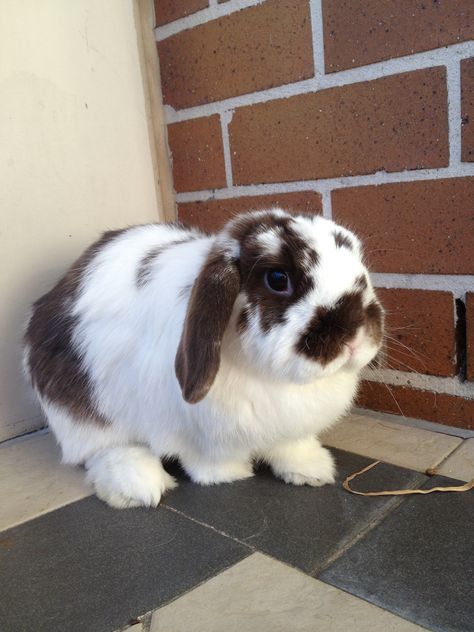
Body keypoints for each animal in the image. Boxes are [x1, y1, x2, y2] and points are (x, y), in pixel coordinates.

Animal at [23, 209, 386, 508]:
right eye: (278, 278)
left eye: (360, 265)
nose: (354, 334)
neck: (275, 379)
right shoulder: (195, 430)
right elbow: (205, 458)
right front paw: (228, 474)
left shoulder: (288, 426)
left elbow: (291, 446)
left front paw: (313, 469)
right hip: (76, 409)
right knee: (100, 448)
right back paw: (137, 486)